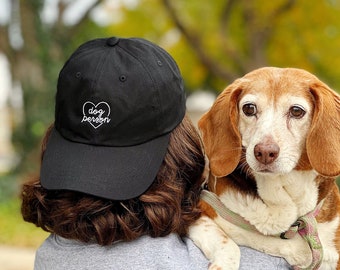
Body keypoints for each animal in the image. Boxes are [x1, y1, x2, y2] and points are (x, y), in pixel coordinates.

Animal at [190, 66, 340, 268]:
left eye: (296, 111)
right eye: (249, 108)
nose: (264, 152)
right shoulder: (198, 214)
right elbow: (228, 243)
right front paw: (224, 264)